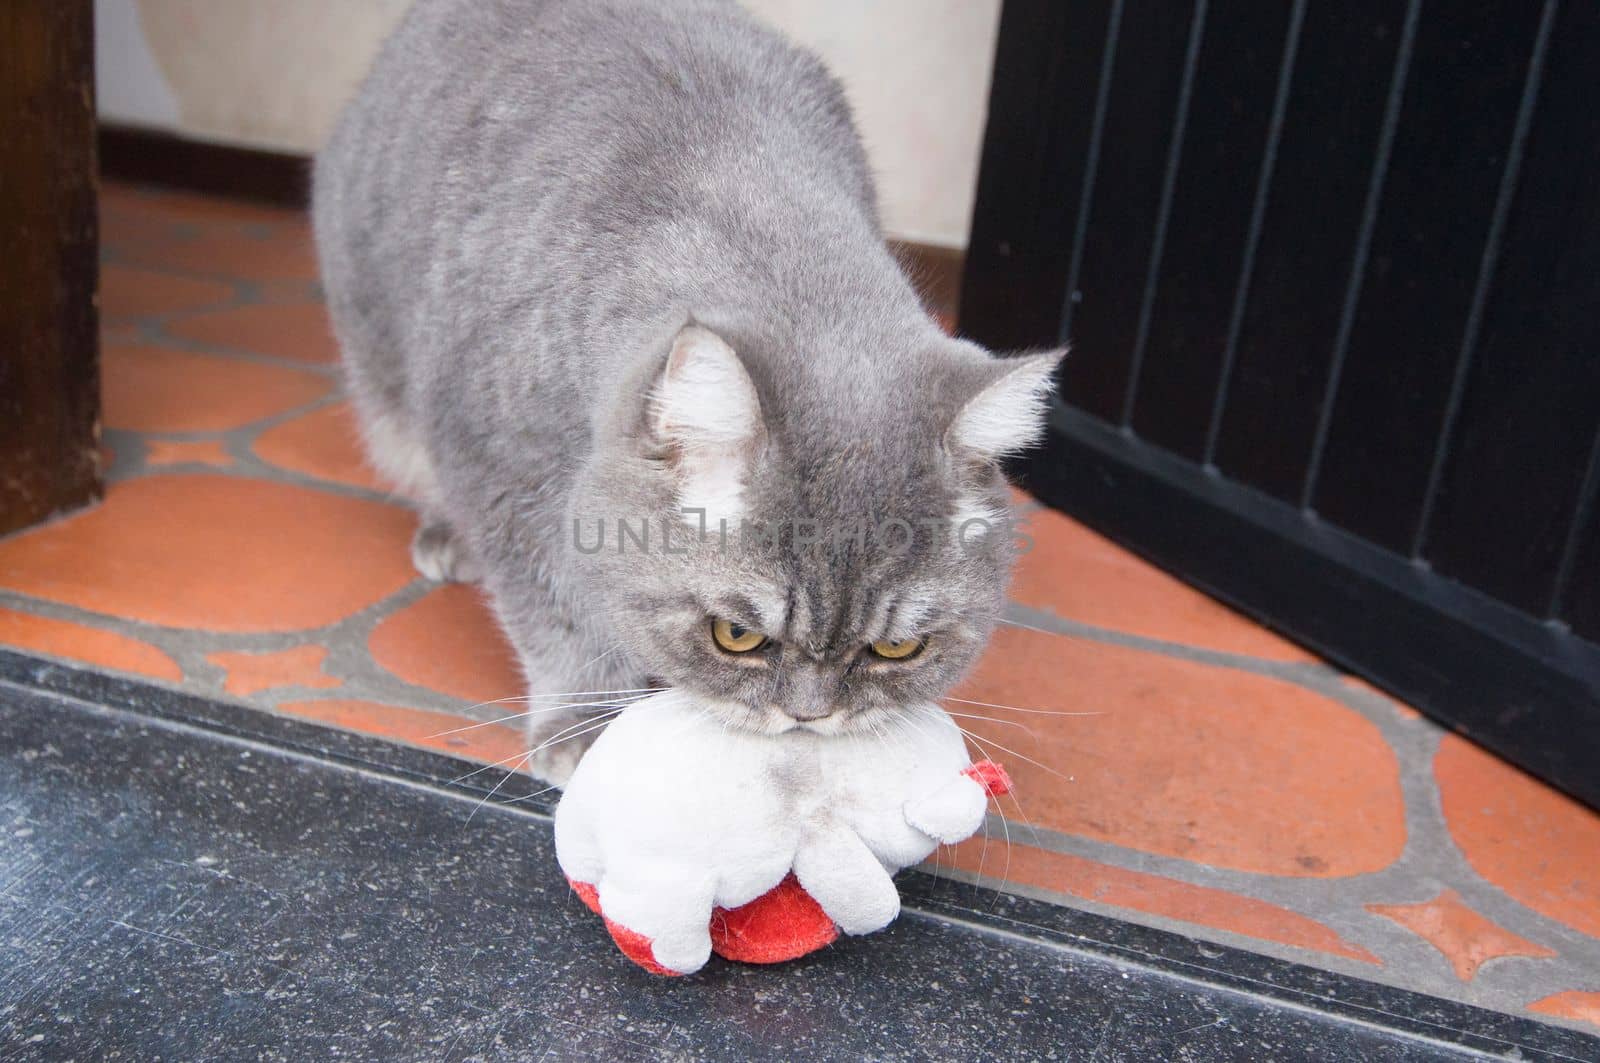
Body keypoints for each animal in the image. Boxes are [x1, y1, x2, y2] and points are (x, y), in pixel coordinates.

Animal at [312, 0, 1062, 781]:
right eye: (736, 633)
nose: (809, 715)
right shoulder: (503, 470)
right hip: (386, 388)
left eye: (898, 648)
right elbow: (556, 609)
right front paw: (583, 720)